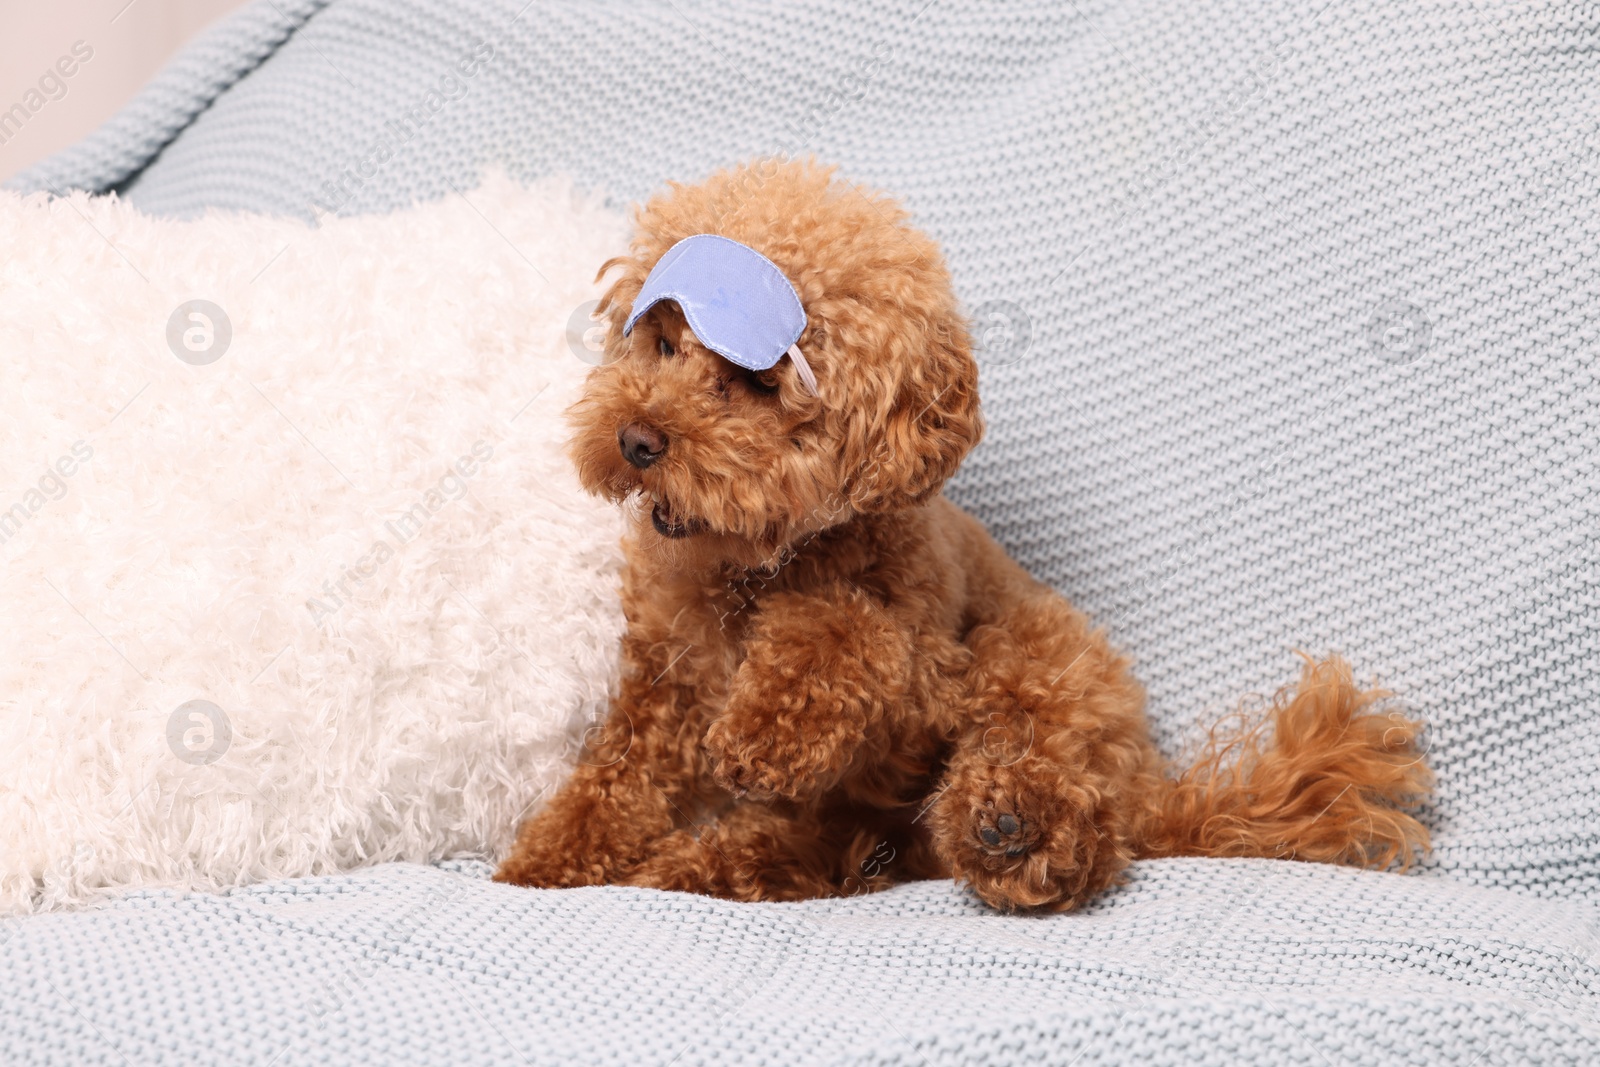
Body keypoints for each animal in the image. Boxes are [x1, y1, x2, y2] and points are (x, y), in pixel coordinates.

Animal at [492, 158, 1433, 908]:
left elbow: (850, 634)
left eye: (759, 383)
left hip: (1035, 663)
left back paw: (1021, 831)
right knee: (817, 852)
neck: (752, 572)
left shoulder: (920, 683)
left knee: (1066, 793)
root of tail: (1152, 787)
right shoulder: (664, 684)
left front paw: (767, 732)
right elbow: (616, 776)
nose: (635, 439)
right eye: (660, 344)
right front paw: (548, 860)